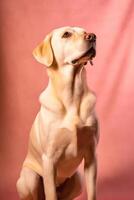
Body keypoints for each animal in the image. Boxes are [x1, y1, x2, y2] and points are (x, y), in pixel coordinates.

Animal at [16, 26, 98, 200]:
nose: (92, 36)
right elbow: (51, 194)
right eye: (66, 34)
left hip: (78, 179)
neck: (72, 95)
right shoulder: (49, 159)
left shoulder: (91, 155)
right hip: (30, 177)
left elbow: (93, 193)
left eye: (84, 31)